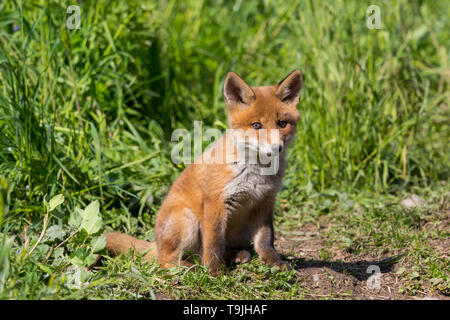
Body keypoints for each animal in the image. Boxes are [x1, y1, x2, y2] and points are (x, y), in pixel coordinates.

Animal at [105, 69, 302, 276]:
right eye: (256, 125)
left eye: (282, 123)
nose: (276, 148)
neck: (256, 174)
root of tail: (156, 244)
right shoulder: (215, 202)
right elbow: (214, 243)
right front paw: (215, 271)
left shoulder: (265, 201)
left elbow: (265, 240)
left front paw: (274, 262)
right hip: (188, 220)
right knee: (166, 260)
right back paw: (191, 269)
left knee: (206, 253)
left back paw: (234, 256)